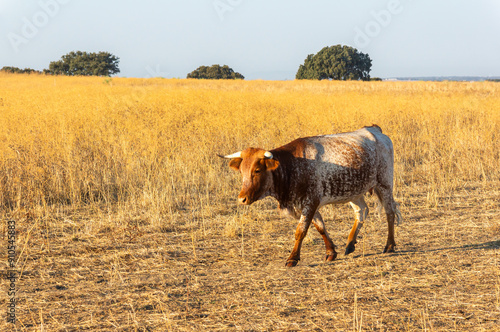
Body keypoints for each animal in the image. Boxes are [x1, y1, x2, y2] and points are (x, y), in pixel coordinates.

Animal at [221, 124, 400, 268]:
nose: (242, 199)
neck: (292, 165)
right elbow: (320, 226)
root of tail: (374, 129)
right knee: (361, 211)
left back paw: (390, 245)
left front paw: (293, 258)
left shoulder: (310, 202)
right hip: (354, 191)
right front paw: (331, 252)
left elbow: (301, 230)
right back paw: (350, 244)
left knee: (390, 212)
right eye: (241, 171)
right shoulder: (305, 204)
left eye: (257, 170)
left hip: (384, 184)